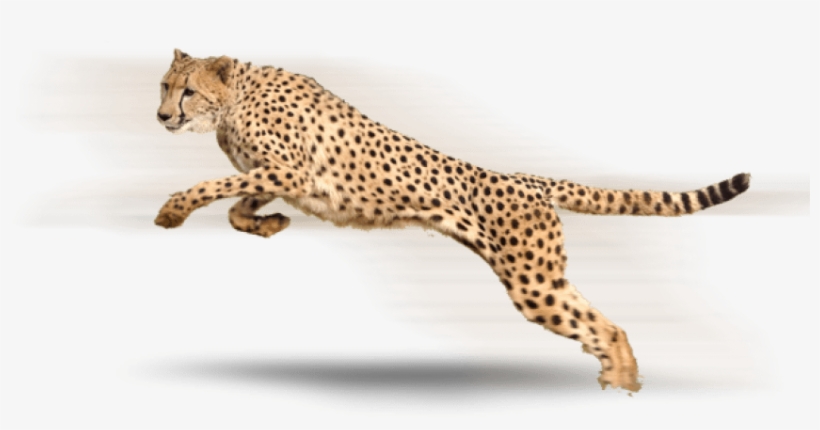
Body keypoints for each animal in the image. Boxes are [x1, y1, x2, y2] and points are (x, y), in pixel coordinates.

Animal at [154, 49, 751, 393]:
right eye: (164, 85)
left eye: (187, 90)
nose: (161, 116)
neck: (235, 95)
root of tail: (526, 178)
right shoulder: (280, 177)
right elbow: (237, 205)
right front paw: (269, 226)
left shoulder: (291, 171)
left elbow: (214, 188)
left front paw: (172, 210)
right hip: (540, 278)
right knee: (599, 320)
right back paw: (618, 377)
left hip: (532, 282)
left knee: (602, 322)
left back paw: (624, 382)